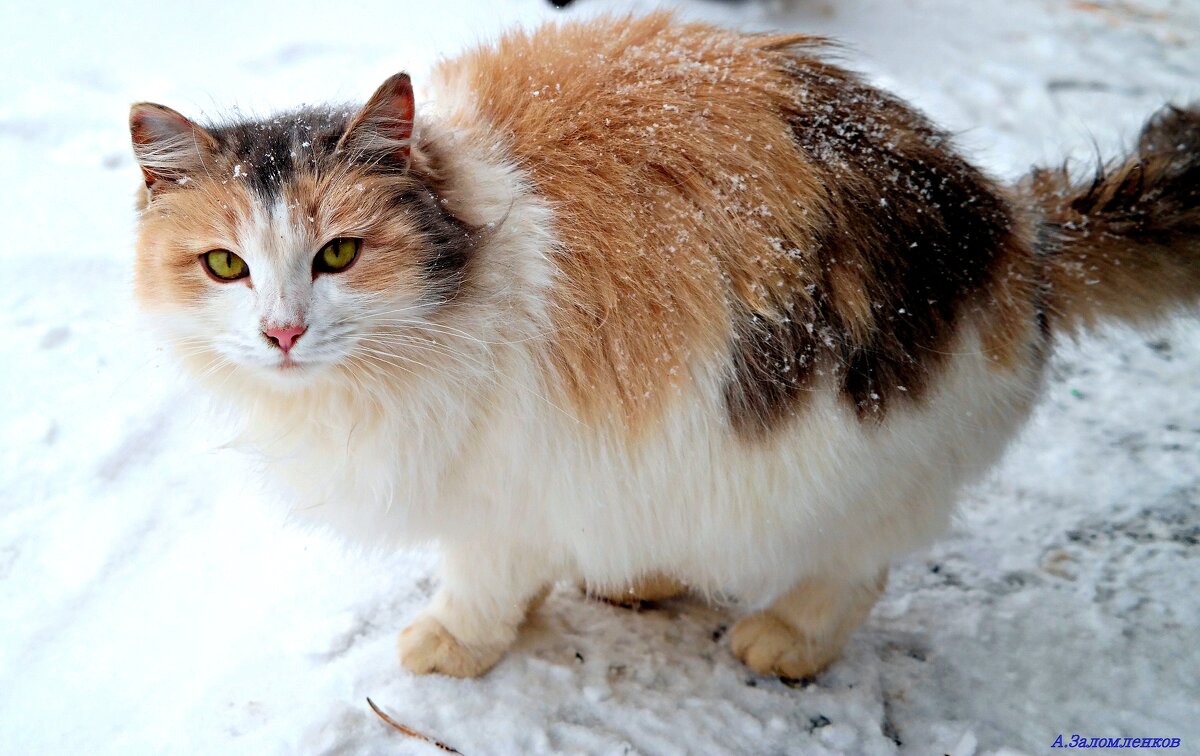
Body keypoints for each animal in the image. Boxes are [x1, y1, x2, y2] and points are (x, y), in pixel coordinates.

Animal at [129, 13, 1200, 681]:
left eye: (339, 254)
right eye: (225, 266)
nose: (281, 330)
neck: (476, 239)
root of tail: (1016, 231)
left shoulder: (503, 479)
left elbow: (480, 580)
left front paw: (455, 643)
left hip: (850, 457)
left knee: (858, 568)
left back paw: (785, 640)